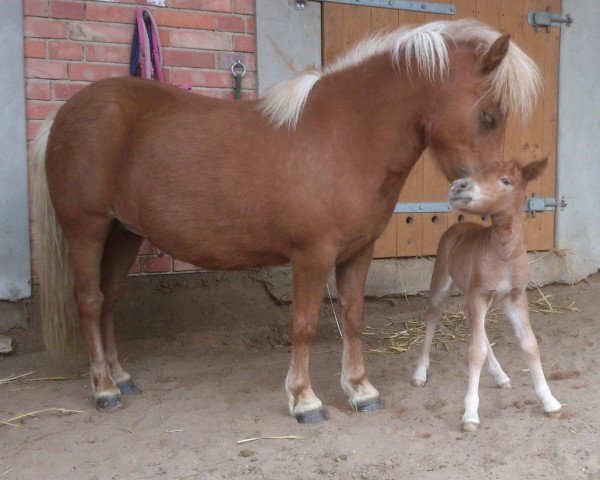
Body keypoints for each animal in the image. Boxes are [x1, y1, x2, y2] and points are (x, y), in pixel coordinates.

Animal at [32, 20, 540, 422]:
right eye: (489, 115)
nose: (483, 198)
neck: (344, 136)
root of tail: (64, 115)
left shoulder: (358, 252)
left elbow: (353, 316)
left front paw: (360, 390)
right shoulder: (311, 256)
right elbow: (305, 323)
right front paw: (304, 400)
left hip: (124, 234)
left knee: (109, 302)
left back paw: (121, 376)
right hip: (87, 230)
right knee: (90, 303)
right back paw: (104, 388)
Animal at [412, 158, 564, 432]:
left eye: (505, 180)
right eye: (479, 173)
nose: (457, 186)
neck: (504, 254)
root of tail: (458, 225)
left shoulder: (515, 297)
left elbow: (530, 344)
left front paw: (550, 402)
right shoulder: (479, 295)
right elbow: (475, 352)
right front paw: (470, 414)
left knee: (477, 329)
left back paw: (501, 376)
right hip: (442, 283)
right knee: (432, 318)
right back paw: (420, 373)